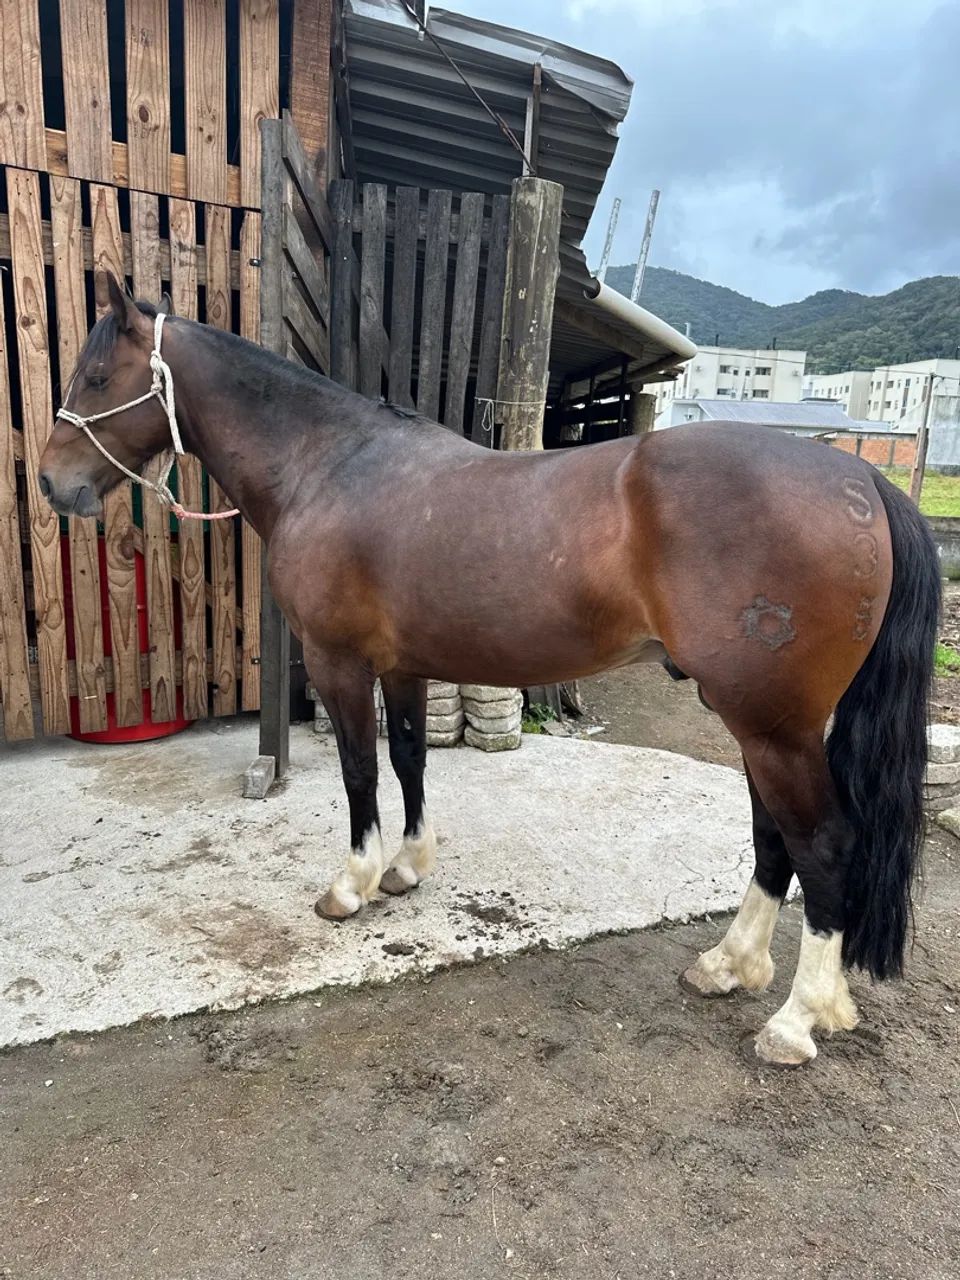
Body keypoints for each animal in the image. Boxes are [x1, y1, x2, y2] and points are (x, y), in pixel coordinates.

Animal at [38, 274, 940, 1066]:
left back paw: (795, 1020)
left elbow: (360, 772)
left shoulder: (339, 663)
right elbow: (409, 758)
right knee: (772, 839)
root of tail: (861, 477)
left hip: (773, 724)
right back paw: (728, 966)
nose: (52, 483)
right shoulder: (401, 666)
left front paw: (352, 883)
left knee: (822, 844)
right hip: (756, 721)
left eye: (96, 376)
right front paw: (406, 868)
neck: (328, 465)